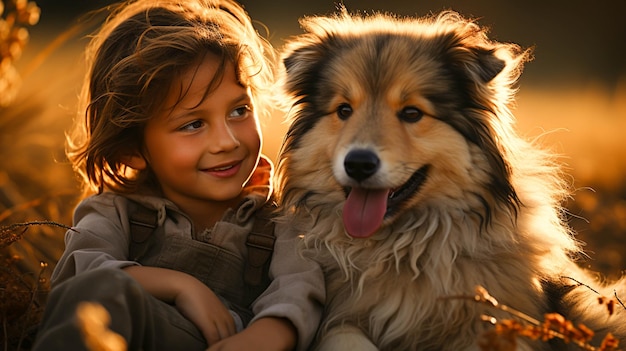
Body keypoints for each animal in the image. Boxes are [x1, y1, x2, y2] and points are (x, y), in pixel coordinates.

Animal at [276, 7, 624, 351]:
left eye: (412, 113)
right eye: (344, 110)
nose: (358, 164)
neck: (400, 250)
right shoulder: (340, 319)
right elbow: (346, 335)